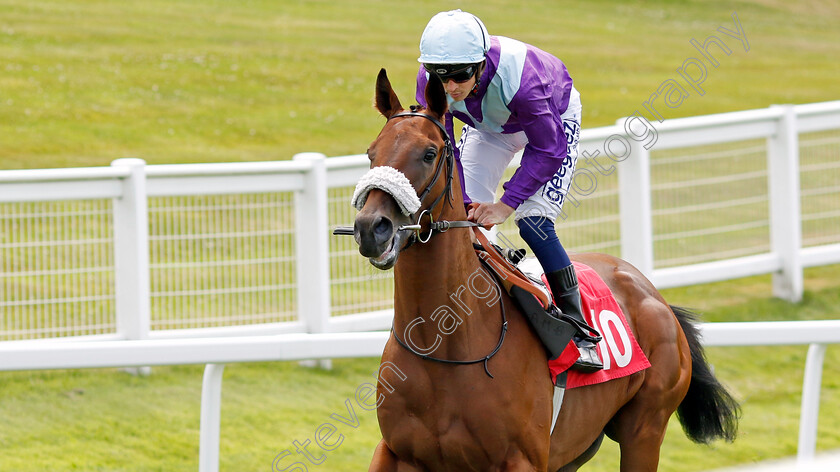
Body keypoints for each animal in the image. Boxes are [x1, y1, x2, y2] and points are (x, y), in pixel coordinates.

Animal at [352, 68, 740, 470]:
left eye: (428, 153)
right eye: (371, 153)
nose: (371, 228)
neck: (444, 345)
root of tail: (656, 297)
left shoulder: (522, 458)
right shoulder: (395, 451)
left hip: (644, 430)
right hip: (575, 449)